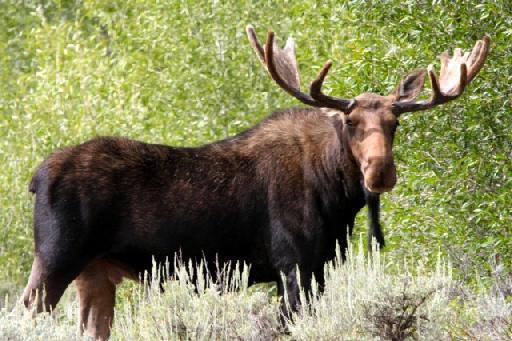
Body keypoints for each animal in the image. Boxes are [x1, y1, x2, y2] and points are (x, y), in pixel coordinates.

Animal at [22, 24, 490, 340]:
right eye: (350, 122)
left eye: (395, 123)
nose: (380, 171)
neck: (337, 199)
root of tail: (34, 177)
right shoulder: (294, 265)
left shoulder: (320, 266)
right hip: (57, 256)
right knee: (28, 310)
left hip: (96, 271)